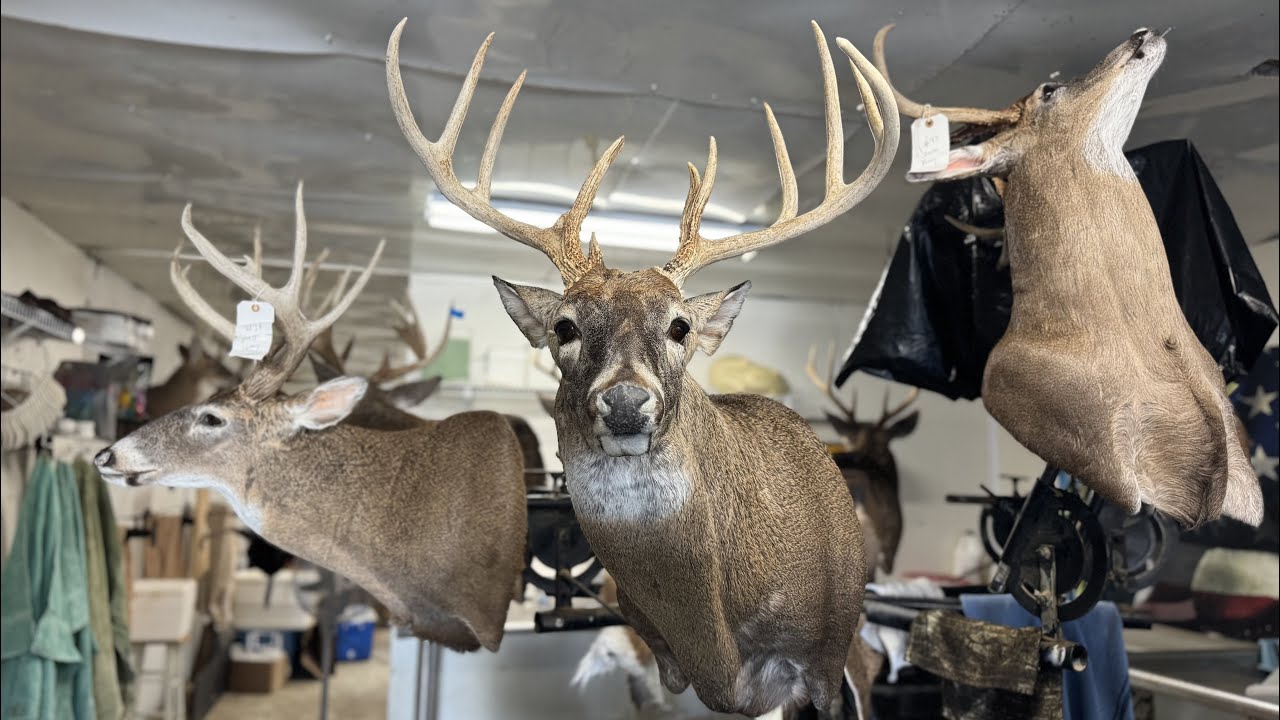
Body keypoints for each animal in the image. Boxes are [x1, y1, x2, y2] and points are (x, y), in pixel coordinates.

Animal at [387, 18, 897, 716]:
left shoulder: (826, 655)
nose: (626, 401)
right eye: (564, 327)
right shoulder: (658, 659)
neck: (716, 640)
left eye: (680, 326)